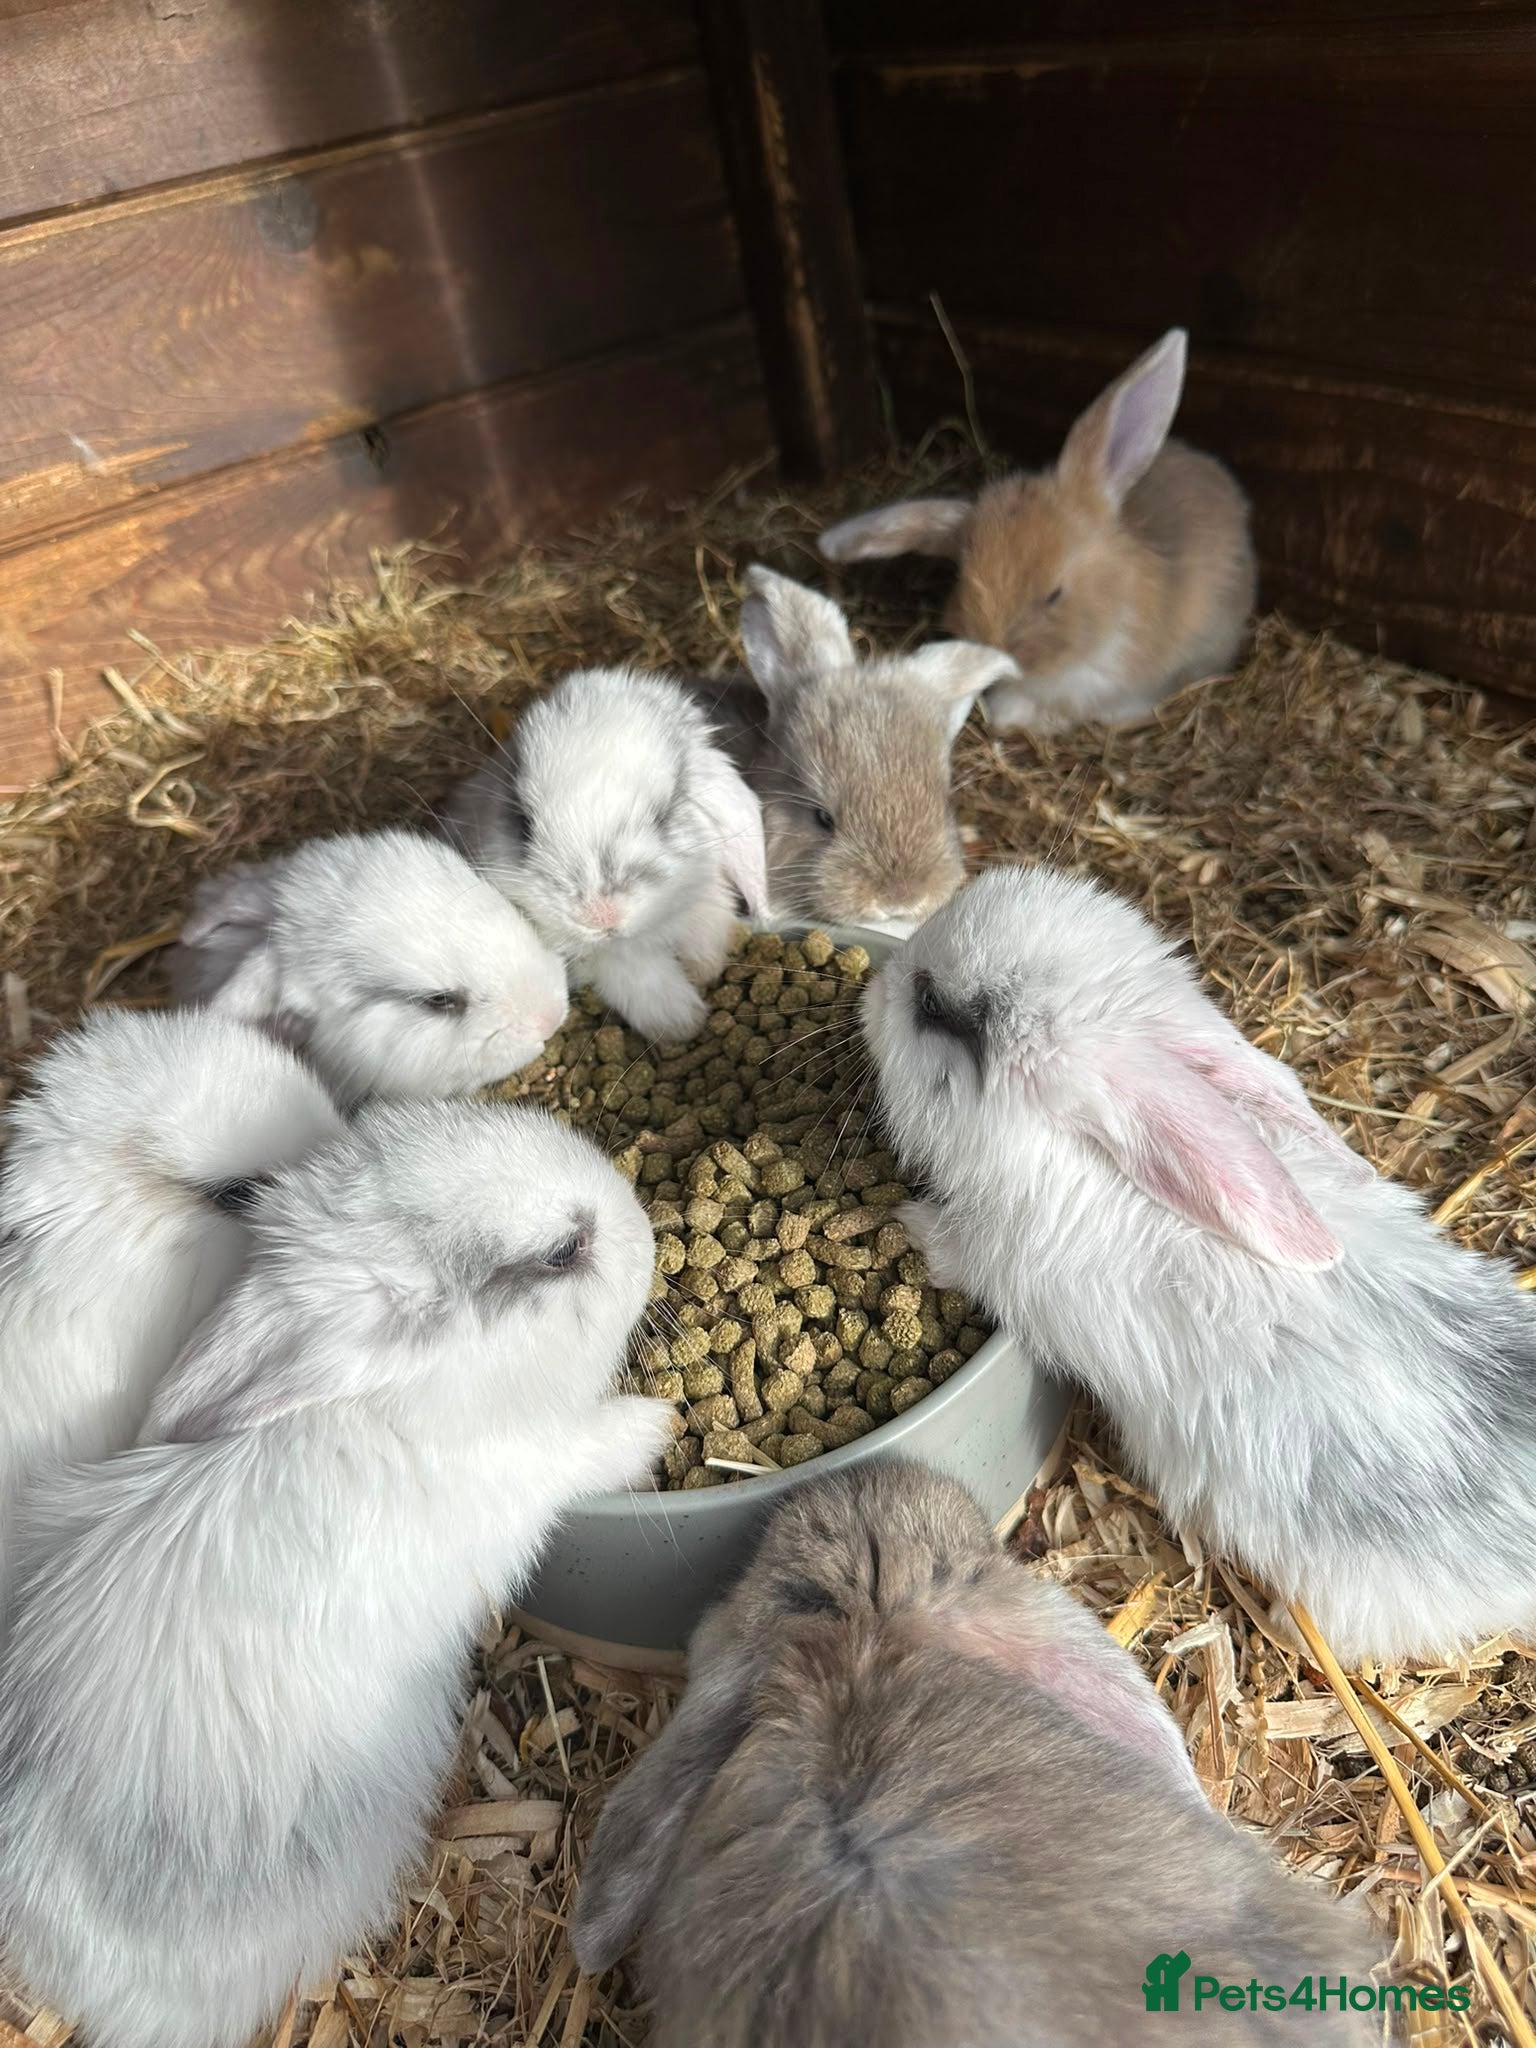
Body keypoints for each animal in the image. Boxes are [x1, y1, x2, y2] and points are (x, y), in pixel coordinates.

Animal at [0, 1095, 676, 2048]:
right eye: (562, 1250)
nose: (646, 1229)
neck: (390, 1399)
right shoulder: (534, 1464)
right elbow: (592, 1448)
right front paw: (659, 1421)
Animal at [446, 667, 770, 1042]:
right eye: (524, 823)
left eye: (665, 815)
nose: (598, 916)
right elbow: (638, 975)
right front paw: (681, 1023)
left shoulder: (707, 901)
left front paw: (704, 971)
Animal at [861, 862, 1536, 1666]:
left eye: (934, 1006)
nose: (876, 980)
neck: (1069, 1159)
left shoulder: (994, 1259)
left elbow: (949, 1252)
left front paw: (904, 1224)